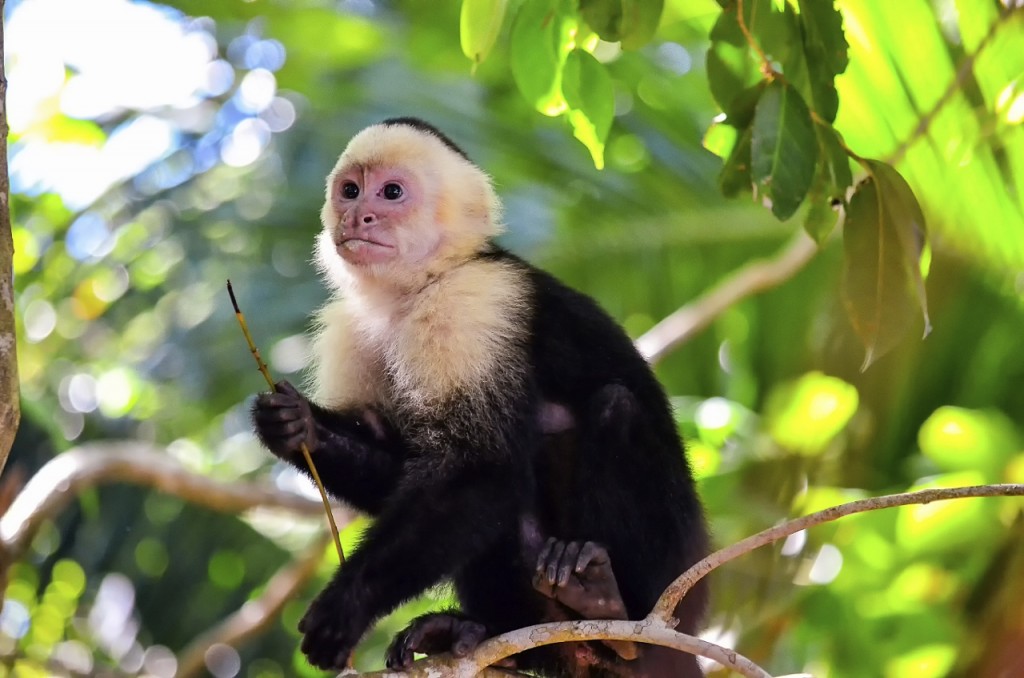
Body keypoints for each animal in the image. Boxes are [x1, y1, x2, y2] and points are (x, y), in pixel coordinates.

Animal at [252, 117, 710, 677]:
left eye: (392, 192)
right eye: (351, 190)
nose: (359, 215)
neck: (416, 289)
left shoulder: (470, 302)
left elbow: (478, 467)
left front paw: (348, 605)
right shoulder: (351, 329)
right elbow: (405, 470)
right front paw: (297, 426)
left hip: (675, 576)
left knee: (614, 407)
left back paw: (612, 613)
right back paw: (483, 630)